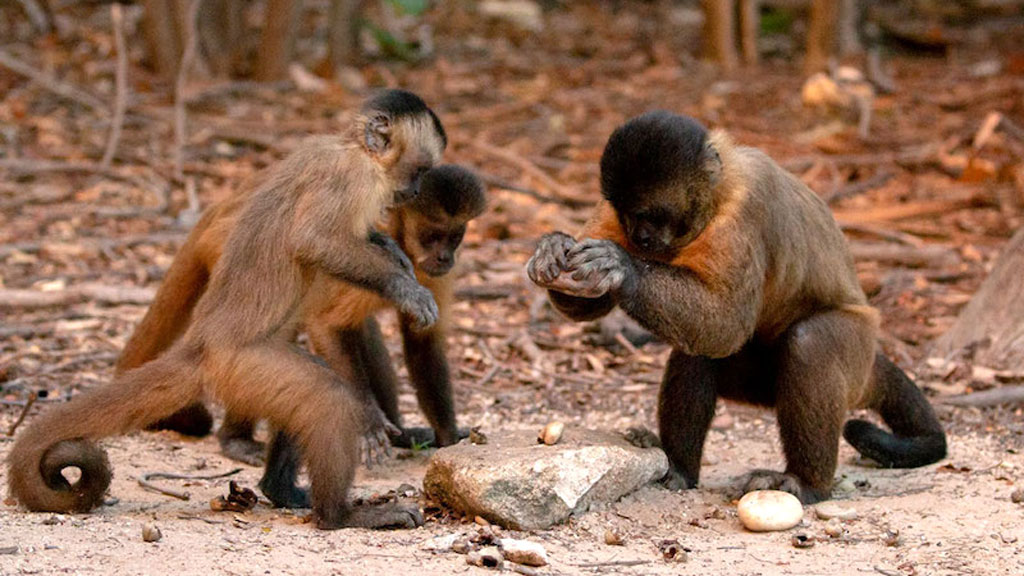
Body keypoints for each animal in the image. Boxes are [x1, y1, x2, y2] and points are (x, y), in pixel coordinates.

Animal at [7, 87, 448, 528]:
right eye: (420, 169)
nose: (414, 190)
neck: (354, 148)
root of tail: (200, 343)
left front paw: (390, 250)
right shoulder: (350, 177)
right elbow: (314, 241)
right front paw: (404, 289)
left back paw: (281, 491)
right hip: (239, 367)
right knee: (326, 396)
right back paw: (339, 516)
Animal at [121, 163, 485, 473]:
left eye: (454, 237)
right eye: (432, 236)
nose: (445, 257)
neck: (401, 239)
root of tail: (221, 209)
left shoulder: (430, 274)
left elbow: (422, 341)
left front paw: (447, 439)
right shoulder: (377, 251)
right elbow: (327, 325)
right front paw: (369, 423)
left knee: (363, 332)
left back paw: (400, 432)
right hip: (235, 257)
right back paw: (236, 440)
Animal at [532, 111, 946, 502]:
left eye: (649, 215)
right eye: (626, 213)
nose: (638, 237)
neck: (720, 189)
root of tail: (870, 356)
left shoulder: (746, 209)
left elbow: (725, 326)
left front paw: (622, 268)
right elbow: (595, 303)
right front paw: (554, 247)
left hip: (855, 352)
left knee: (810, 341)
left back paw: (806, 484)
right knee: (696, 353)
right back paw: (679, 469)